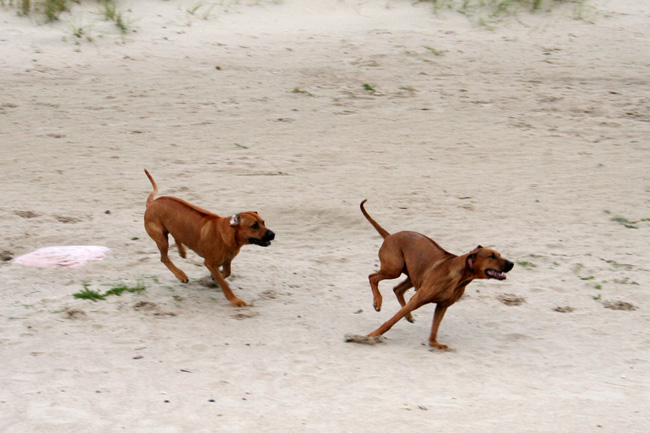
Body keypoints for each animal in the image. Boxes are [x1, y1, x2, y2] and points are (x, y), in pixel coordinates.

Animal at [142, 169, 274, 308]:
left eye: (263, 222)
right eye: (254, 225)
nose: (273, 234)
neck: (228, 234)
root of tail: (151, 203)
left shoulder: (227, 260)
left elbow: (227, 273)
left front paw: (214, 277)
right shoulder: (210, 263)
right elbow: (224, 284)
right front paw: (235, 300)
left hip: (174, 228)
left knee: (176, 237)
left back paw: (182, 252)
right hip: (160, 237)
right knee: (164, 258)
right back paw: (180, 274)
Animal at [360, 199, 512, 348]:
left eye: (499, 255)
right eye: (492, 256)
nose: (511, 264)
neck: (460, 277)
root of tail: (390, 236)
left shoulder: (442, 305)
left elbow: (435, 326)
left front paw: (434, 343)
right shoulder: (418, 299)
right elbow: (391, 321)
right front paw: (372, 335)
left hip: (414, 275)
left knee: (397, 289)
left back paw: (408, 315)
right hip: (394, 269)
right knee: (372, 277)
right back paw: (378, 302)